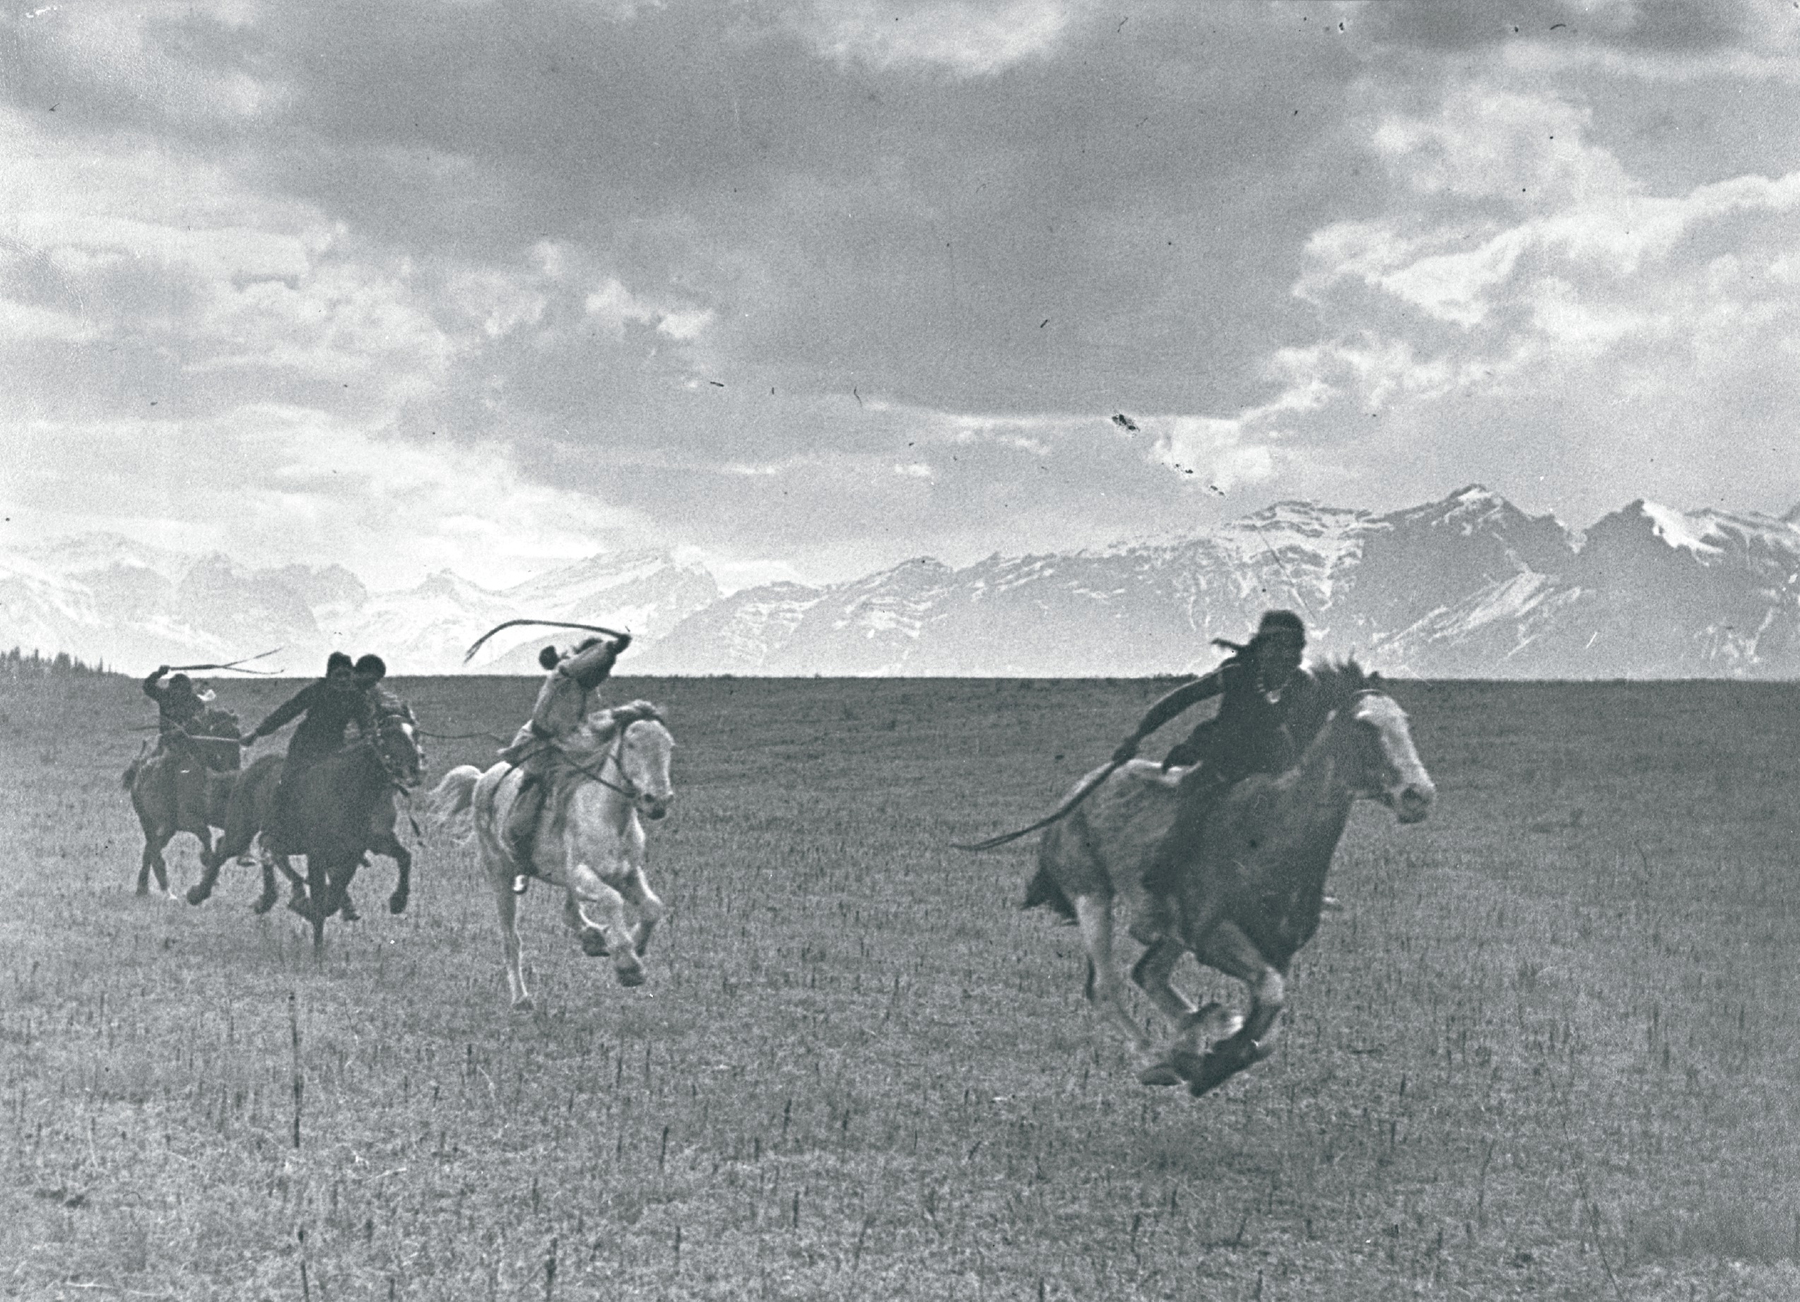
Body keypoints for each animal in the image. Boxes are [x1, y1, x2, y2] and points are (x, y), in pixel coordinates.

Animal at [122, 713, 243, 907]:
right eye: (226, 734)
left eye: (237, 735)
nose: (234, 768)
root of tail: (139, 768)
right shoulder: (187, 820)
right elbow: (205, 834)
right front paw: (209, 865)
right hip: (159, 824)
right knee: (153, 851)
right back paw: (167, 891)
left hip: (160, 828)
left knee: (150, 850)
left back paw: (143, 888)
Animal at [187, 702, 424, 950]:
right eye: (390, 735)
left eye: (415, 733)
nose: (415, 769)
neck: (348, 787)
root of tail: (253, 768)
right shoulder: (317, 855)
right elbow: (321, 900)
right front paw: (315, 942)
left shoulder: (360, 849)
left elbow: (402, 857)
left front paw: (397, 901)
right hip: (242, 830)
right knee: (226, 849)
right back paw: (198, 893)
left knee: (267, 850)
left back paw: (271, 898)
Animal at [433, 702, 676, 1008]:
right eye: (631, 744)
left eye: (669, 745)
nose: (658, 801)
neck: (607, 816)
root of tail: (481, 780)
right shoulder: (582, 874)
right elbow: (611, 899)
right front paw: (627, 965)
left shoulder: (627, 873)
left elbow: (653, 907)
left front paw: (635, 946)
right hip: (500, 875)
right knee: (511, 939)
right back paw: (521, 998)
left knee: (569, 913)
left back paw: (593, 938)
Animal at [1022, 662, 1440, 1102]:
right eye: (1365, 726)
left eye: (1404, 722)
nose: (1418, 795)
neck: (1269, 830)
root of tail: (1076, 795)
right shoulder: (1215, 937)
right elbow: (1270, 994)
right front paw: (1214, 1059)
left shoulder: (1277, 948)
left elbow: (1267, 1021)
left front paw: (1215, 1046)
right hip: (1091, 896)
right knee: (1105, 986)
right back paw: (1157, 1057)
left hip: (1169, 927)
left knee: (1148, 972)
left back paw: (1193, 1035)